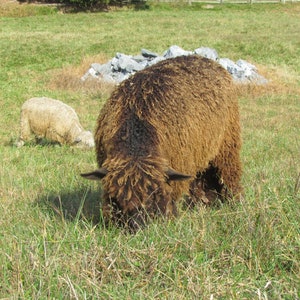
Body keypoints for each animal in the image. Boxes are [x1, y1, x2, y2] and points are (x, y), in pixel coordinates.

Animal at [81, 55, 243, 230]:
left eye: (153, 196)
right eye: (118, 199)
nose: (137, 228)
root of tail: (204, 58)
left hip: (227, 143)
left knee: (229, 173)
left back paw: (234, 201)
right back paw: (204, 202)